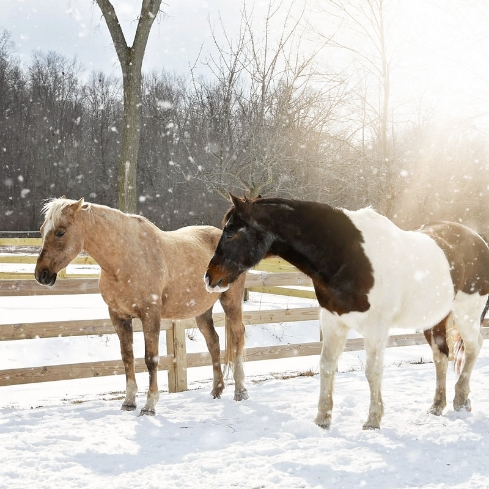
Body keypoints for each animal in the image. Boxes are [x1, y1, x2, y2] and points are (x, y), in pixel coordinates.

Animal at [34, 196, 248, 414]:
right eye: (42, 230)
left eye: (60, 232)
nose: (41, 274)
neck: (126, 258)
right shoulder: (118, 315)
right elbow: (127, 356)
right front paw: (129, 402)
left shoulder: (150, 315)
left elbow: (150, 358)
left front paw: (149, 405)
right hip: (202, 311)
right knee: (213, 342)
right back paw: (217, 390)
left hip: (231, 301)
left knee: (238, 336)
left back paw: (240, 391)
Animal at [205, 194, 488, 428]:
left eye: (230, 233)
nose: (209, 278)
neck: (348, 256)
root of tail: (478, 241)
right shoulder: (333, 321)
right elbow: (327, 366)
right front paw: (322, 418)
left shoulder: (376, 328)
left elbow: (373, 371)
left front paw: (373, 420)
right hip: (435, 318)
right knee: (442, 355)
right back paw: (437, 405)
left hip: (467, 314)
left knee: (474, 347)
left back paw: (461, 399)